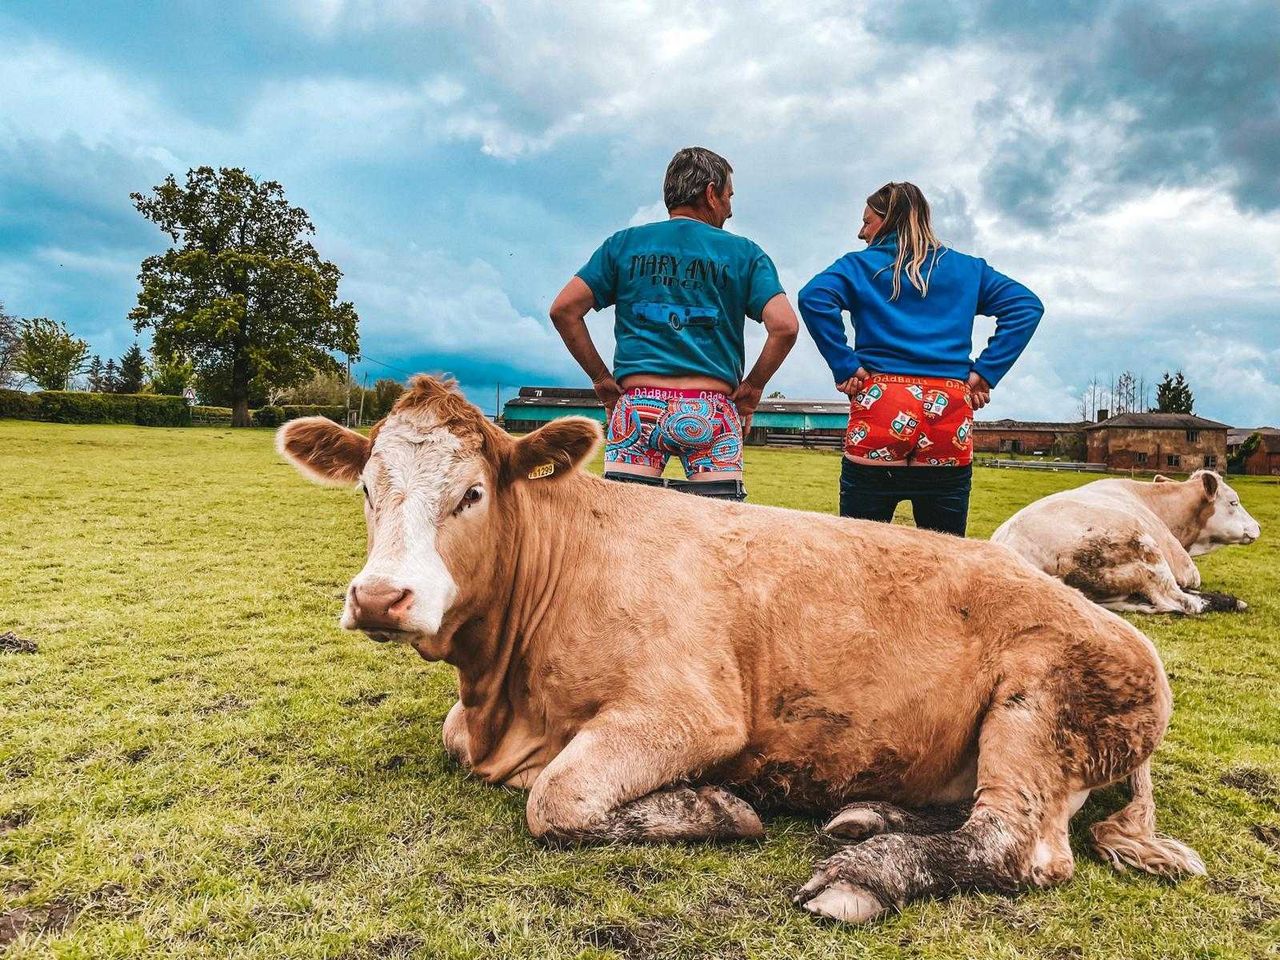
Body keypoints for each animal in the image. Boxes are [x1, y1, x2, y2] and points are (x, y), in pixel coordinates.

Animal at [276, 375, 1205, 925]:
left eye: (471, 493)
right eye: (367, 490)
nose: (380, 597)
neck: (505, 691)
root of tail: (1114, 628)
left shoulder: (690, 714)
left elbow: (557, 801)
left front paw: (715, 807)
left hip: (1040, 708)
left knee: (1016, 846)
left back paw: (864, 874)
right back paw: (870, 815)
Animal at [991, 471, 1261, 615]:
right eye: (1234, 502)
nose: (1258, 526)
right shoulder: (1184, 569)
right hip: (1145, 551)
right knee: (1181, 602)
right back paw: (1234, 601)